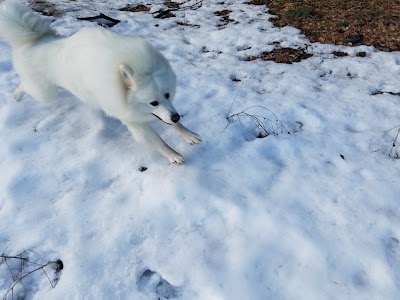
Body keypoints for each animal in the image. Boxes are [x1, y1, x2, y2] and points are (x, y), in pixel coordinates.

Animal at [0, 0, 200, 164]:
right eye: (153, 102)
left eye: (167, 94)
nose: (176, 116)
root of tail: (35, 42)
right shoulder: (134, 120)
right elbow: (157, 141)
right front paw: (172, 154)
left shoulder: (160, 112)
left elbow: (173, 125)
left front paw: (189, 134)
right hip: (45, 93)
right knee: (24, 85)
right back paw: (16, 96)